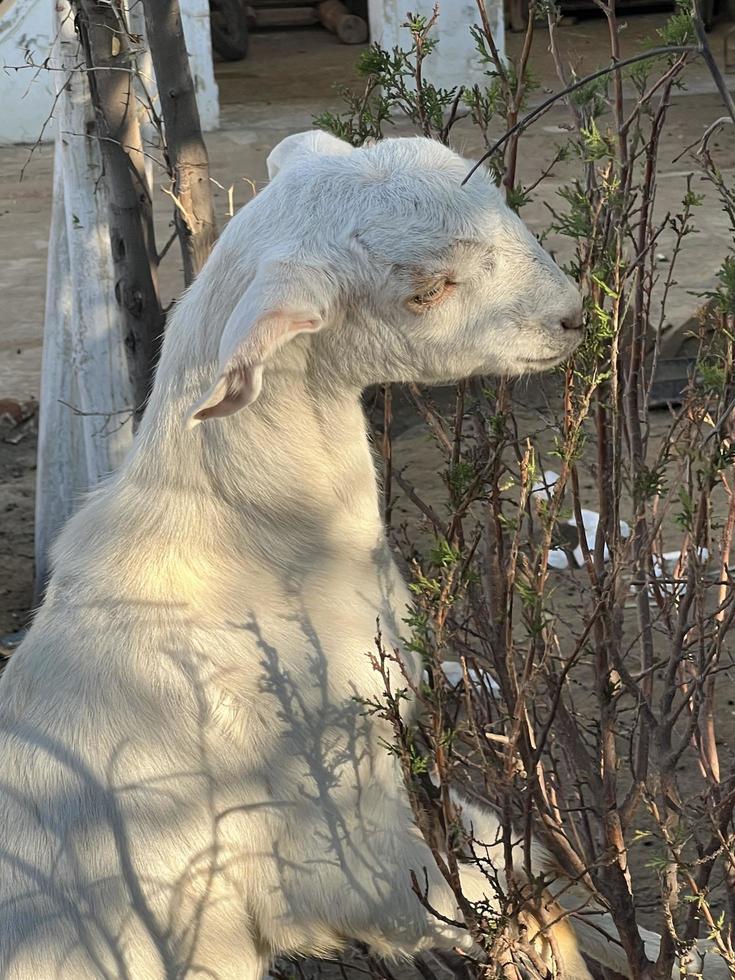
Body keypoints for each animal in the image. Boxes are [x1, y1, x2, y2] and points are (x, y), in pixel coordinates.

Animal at [0, 132, 724, 980]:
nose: (573, 316)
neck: (248, 553)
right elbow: (482, 900)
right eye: (427, 288)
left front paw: (683, 948)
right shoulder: (329, 843)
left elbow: (522, 864)